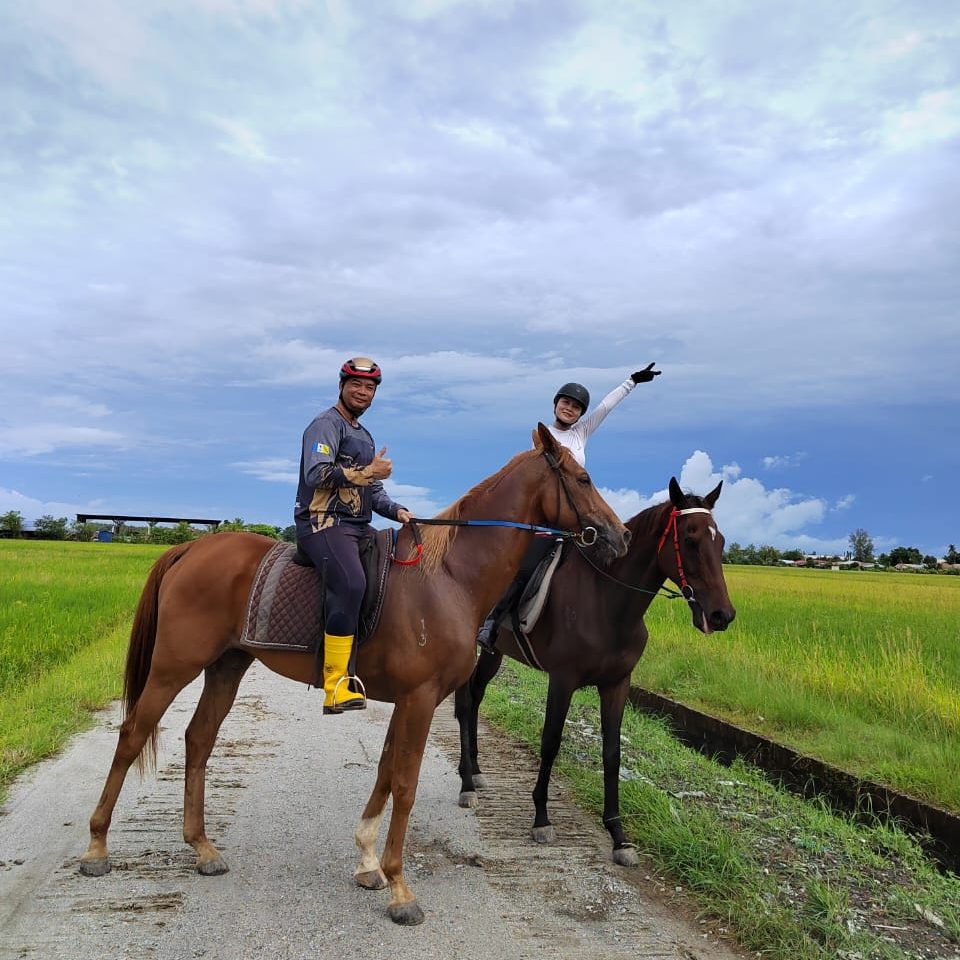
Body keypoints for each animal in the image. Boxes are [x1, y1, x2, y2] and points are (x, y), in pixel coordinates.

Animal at [77, 424, 632, 928]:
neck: (449, 576)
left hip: (226, 666)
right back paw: (97, 846)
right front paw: (400, 888)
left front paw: (368, 863)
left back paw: (201, 847)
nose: (620, 536)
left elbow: (385, 772)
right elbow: (404, 783)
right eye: (583, 478)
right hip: (174, 666)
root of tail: (190, 549)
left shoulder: (409, 699)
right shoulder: (420, 698)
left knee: (199, 739)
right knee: (132, 735)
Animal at [456, 478, 736, 864]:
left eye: (720, 540)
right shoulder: (562, 680)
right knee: (466, 702)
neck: (607, 601)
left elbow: (612, 753)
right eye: (691, 539)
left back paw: (475, 771)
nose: (722, 615)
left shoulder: (617, 684)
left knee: (476, 697)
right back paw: (467, 782)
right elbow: (550, 743)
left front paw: (618, 835)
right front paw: (541, 818)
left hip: (494, 652)